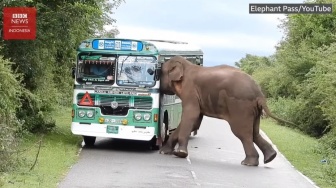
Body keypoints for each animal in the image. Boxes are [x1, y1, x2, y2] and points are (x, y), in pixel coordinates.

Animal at [158, 55, 294, 166]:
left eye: (159, 72)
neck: (186, 66)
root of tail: (260, 94)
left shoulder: (190, 90)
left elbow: (191, 116)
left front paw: (180, 153)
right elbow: (195, 121)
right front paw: (164, 152)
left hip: (241, 107)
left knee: (243, 133)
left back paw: (248, 163)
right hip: (254, 110)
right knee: (254, 133)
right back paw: (270, 157)